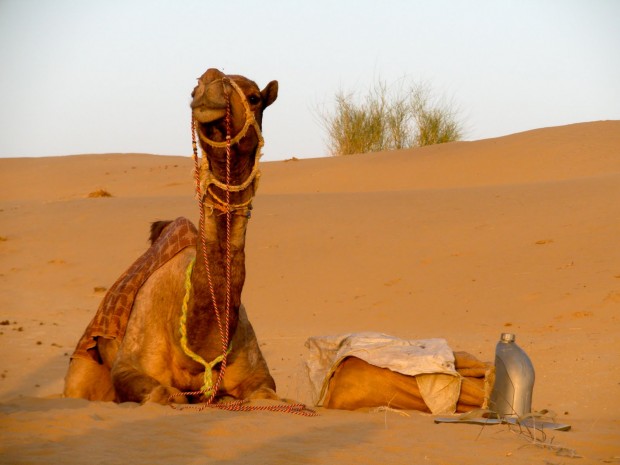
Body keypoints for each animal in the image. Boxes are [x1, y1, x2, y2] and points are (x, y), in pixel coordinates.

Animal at [62, 68, 278, 402]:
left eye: (254, 97)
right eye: (193, 90)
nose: (210, 79)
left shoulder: (259, 375)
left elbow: (265, 395)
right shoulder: (129, 366)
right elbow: (164, 395)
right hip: (84, 364)